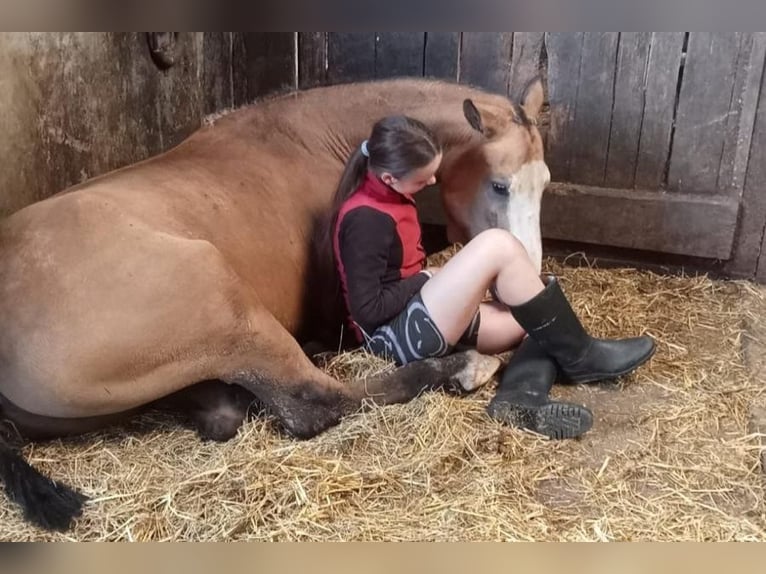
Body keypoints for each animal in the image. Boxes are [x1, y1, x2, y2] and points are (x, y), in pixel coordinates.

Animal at [0, 77, 549, 531]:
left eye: (544, 183)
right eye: (499, 184)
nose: (532, 270)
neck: (318, 140)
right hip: (227, 304)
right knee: (314, 401)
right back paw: (465, 366)